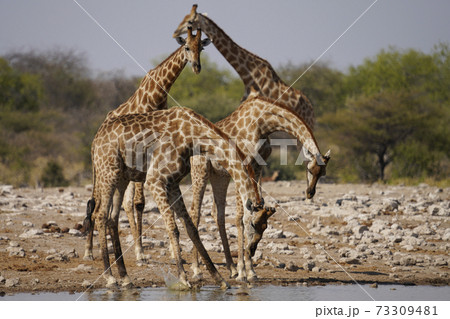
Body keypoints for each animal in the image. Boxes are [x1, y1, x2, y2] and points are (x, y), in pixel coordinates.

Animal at [83, 27, 211, 264]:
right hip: (102, 167)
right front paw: (141, 253)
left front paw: (170, 253)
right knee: (97, 200)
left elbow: (141, 203)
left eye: (201, 47)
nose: (197, 67)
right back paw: (89, 251)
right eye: (186, 47)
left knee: (120, 203)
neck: (156, 95)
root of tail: (100, 128)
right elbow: (138, 203)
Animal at [84, 107, 274, 290]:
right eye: (253, 224)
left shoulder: (173, 183)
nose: (252, 250)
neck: (192, 135)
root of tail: (95, 141)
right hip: (108, 172)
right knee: (100, 215)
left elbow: (191, 229)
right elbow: (173, 228)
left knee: (112, 218)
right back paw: (110, 278)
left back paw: (125, 278)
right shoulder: (155, 180)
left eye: (265, 227)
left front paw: (220, 280)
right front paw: (183, 279)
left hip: (122, 177)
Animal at [188, 96, 328, 282]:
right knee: (195, 213)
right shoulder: (243, 164)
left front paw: (249, 271)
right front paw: (244, 271)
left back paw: (231, 268)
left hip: (219, 176)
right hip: (200, 171)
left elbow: (250, 208)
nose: (310, 193)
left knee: (218, 215)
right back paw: (197, 269)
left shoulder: (258, 166)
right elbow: (241, 217)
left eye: (323, 173)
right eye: (310, 169)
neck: (263, 123)